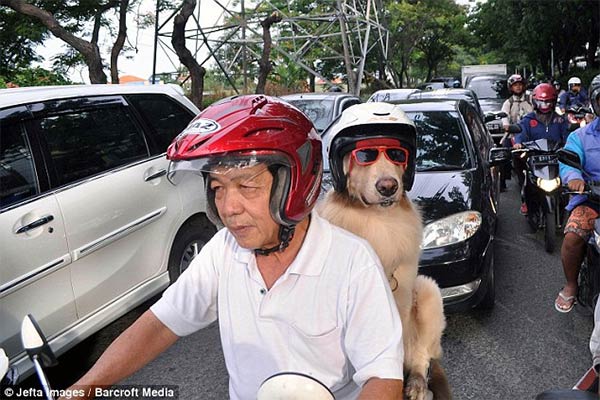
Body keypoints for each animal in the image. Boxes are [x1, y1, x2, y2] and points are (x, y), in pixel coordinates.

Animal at [318, 148, 450, 398]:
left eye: (397, 154)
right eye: (364, 156)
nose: (388, 186)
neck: (379, 219)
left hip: (427, 290)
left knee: (422, 354)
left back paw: (417, 382)